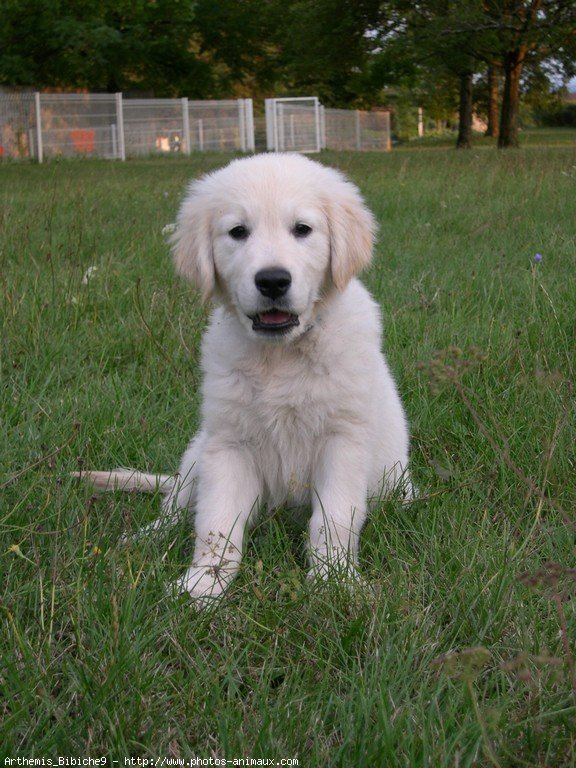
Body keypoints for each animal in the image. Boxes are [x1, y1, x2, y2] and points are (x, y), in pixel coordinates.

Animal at [80, 152, 410, 608]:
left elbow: (334, 518)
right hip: (196, 454)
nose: (272, 280)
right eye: (238, 232)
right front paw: (202, 586)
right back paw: (143, 538)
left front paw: (334, 581)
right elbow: (215, 524)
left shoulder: (344, 440)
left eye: (302, 229)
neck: (281, 355)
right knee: (174, 506)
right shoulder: (228, 444)